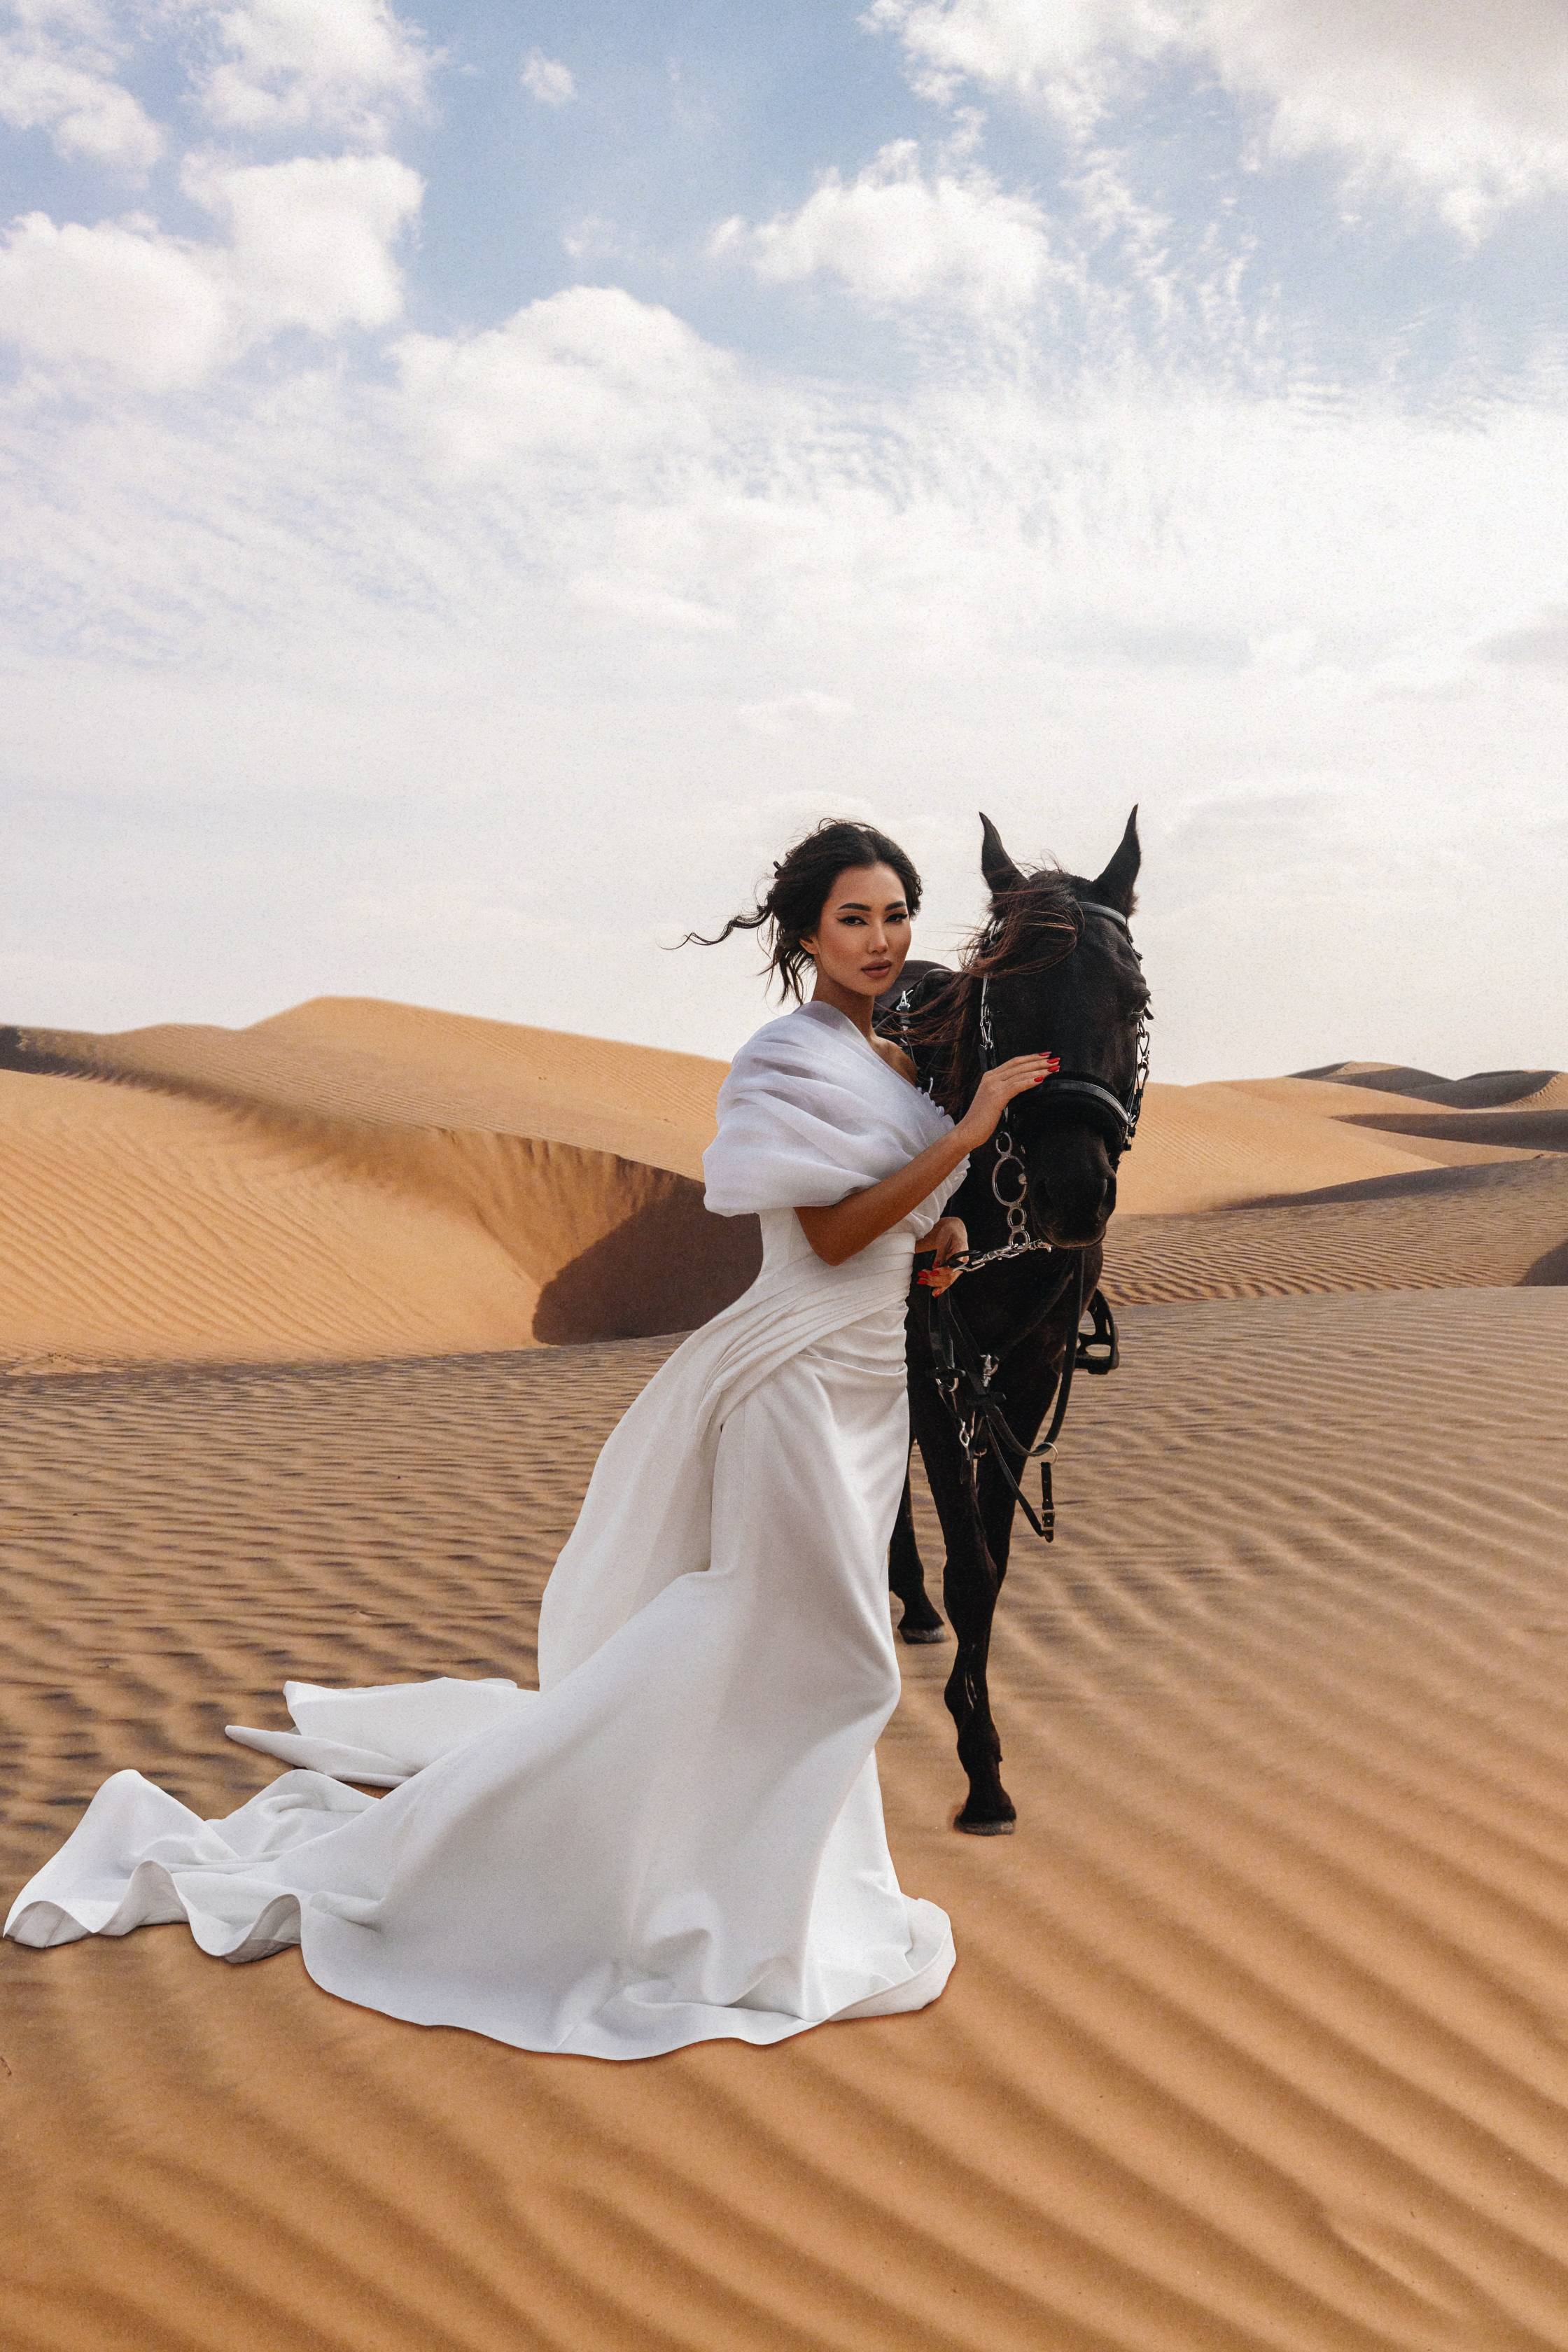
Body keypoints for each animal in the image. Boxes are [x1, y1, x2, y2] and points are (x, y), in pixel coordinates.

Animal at [879, 813, 1147, 1834]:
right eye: (1005, 997)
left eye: (1134, 1003)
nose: (1073, 1192)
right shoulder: (929, 1357)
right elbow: (969, 1561)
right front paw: (980, 1766)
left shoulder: (1027, 1369)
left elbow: (990, 1562)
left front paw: (980, 1745)